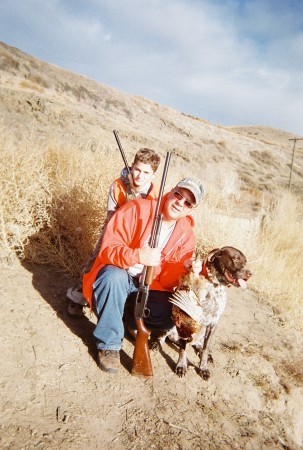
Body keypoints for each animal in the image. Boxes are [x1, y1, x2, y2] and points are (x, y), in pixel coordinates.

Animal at [158, 246, 253, 380]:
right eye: (236, 259)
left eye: (245, 261)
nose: (250, 274)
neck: (215, 286)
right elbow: (183, 348)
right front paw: (181, 365)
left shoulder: (213, 323)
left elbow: (206, 347)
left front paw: (203, 368)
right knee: (164, 335)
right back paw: (156, 343)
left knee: (198, 345)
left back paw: (204, 353)